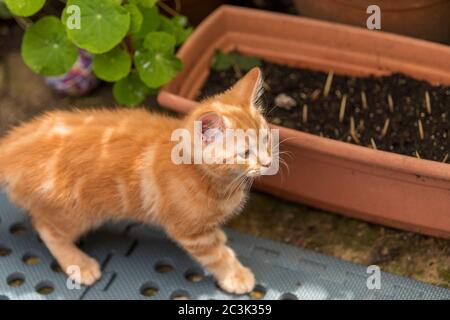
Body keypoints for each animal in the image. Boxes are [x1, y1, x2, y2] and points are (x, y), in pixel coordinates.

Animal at [0, 69, 270, 294]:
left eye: (266, 138)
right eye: (245, 153)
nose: (268, 163)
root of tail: (11, 147)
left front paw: (223, 240)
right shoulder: (190, 232)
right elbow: (216, 256)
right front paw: (235, 275)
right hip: (74, 213)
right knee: (46, 228)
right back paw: (78, 263)